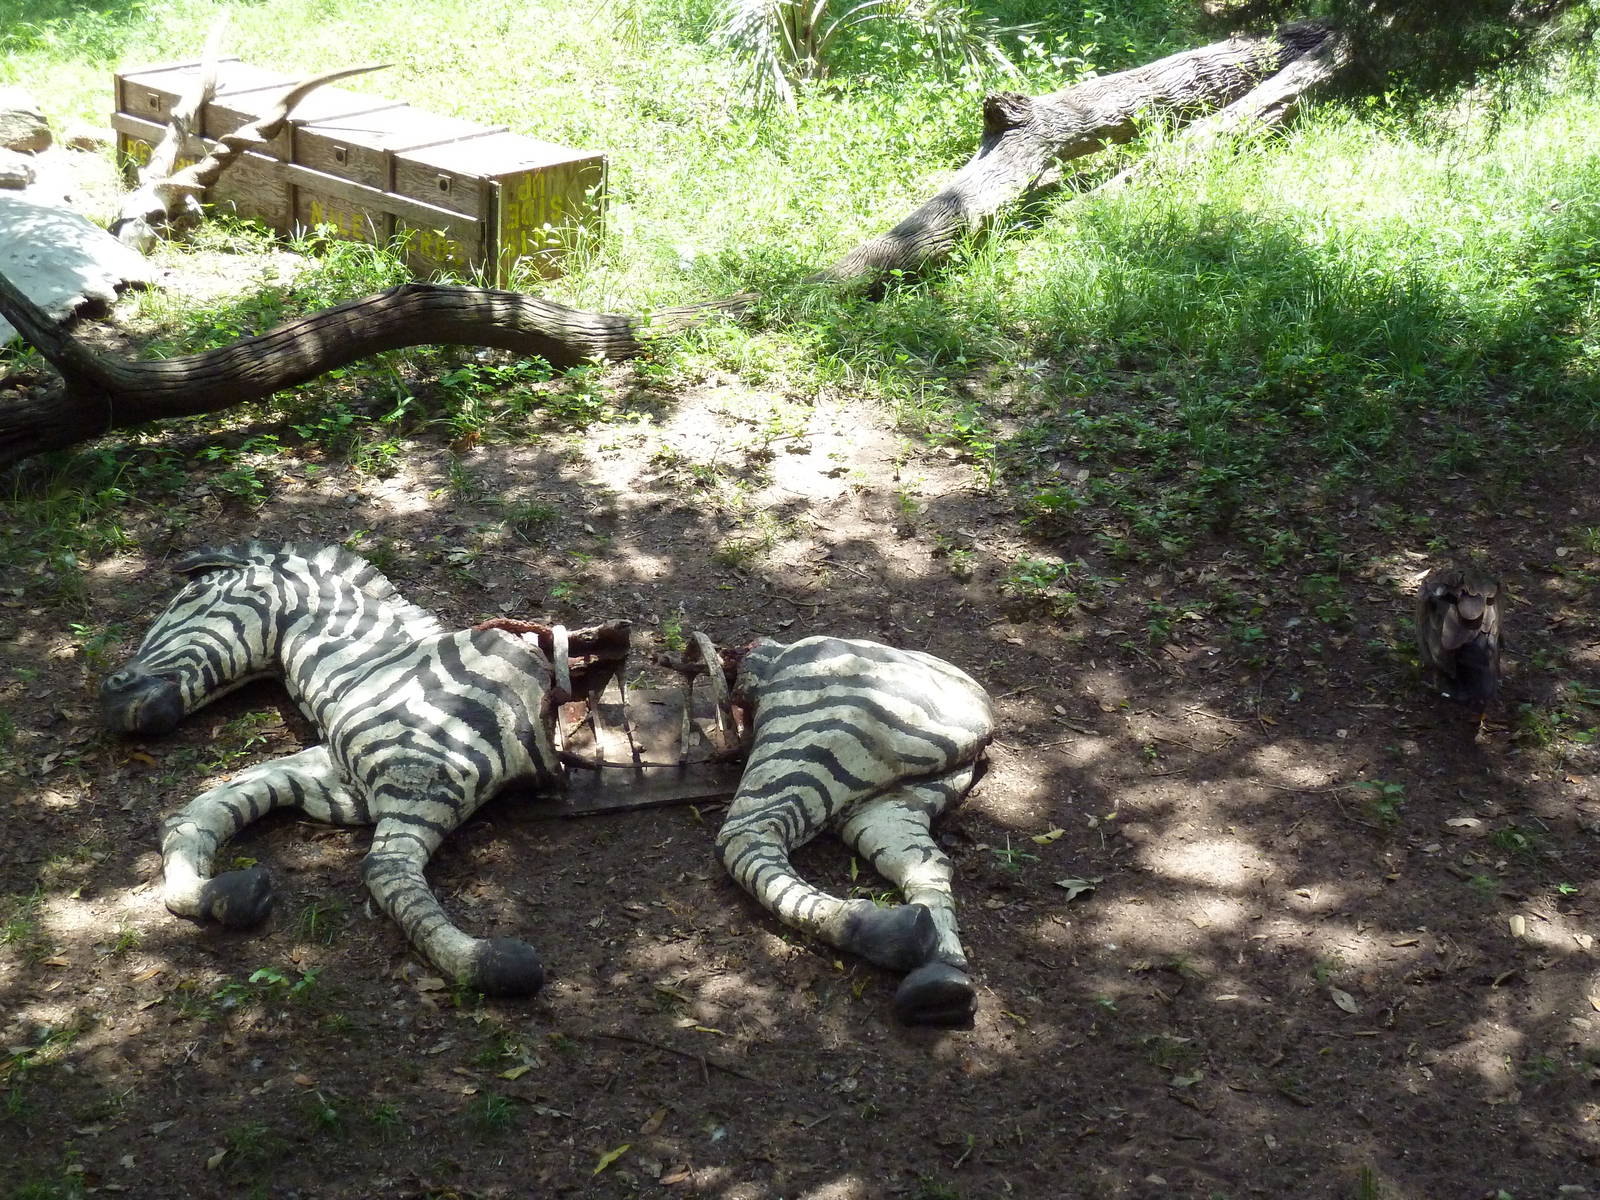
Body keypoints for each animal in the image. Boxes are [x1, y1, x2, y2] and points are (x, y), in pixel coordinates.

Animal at [100, 542, 564, 996]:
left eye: (191, 597)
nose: (110, 693)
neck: (373, 668)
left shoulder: (426, 769)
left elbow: (387, 869)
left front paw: (491, 963)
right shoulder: (338, 781)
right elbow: (192, 817)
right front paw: (223, 893)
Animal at [709, 634, 995, 1027]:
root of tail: (982, 718)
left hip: (817, 739)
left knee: (745, 837)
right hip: (896, 797)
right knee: (925, 863)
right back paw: (940, 978)